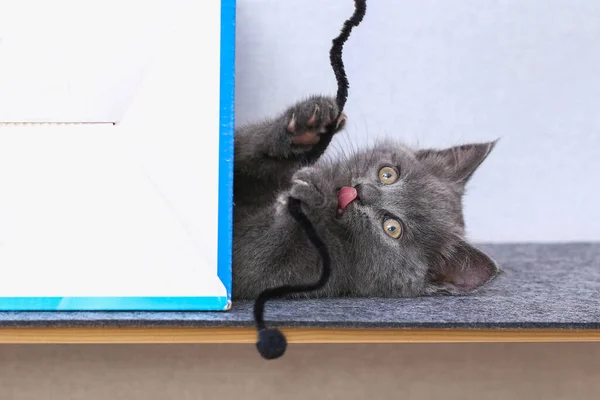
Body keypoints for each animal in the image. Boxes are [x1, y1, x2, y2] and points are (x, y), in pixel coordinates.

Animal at [232, 95, 500, 298]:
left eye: (392, 228)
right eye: (388, 174)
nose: (361, 192)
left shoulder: (299, 275)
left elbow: (256, 259)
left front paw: (314, 198)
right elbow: (243, 148)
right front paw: (307, 124)